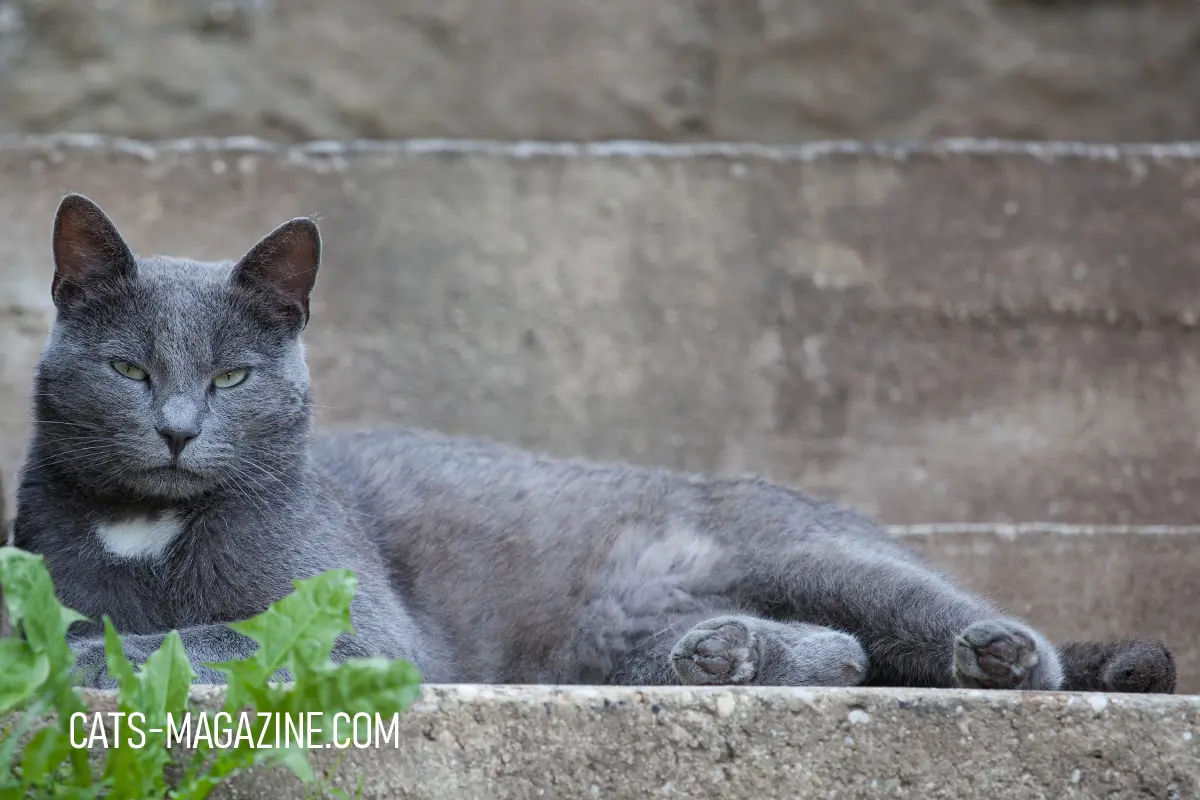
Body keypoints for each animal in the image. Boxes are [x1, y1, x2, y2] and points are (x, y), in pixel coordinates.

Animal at [9, 195, 1171, 695]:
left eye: (231, 379)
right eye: (128, 370)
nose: (176, 428)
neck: (147, 528)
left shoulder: (358, 629)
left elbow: (207, 634)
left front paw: (85, 653)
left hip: (801, 545)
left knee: (929, 616)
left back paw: (1002, 655)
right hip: (611, 624)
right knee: (838, 651)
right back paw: (728, 653)